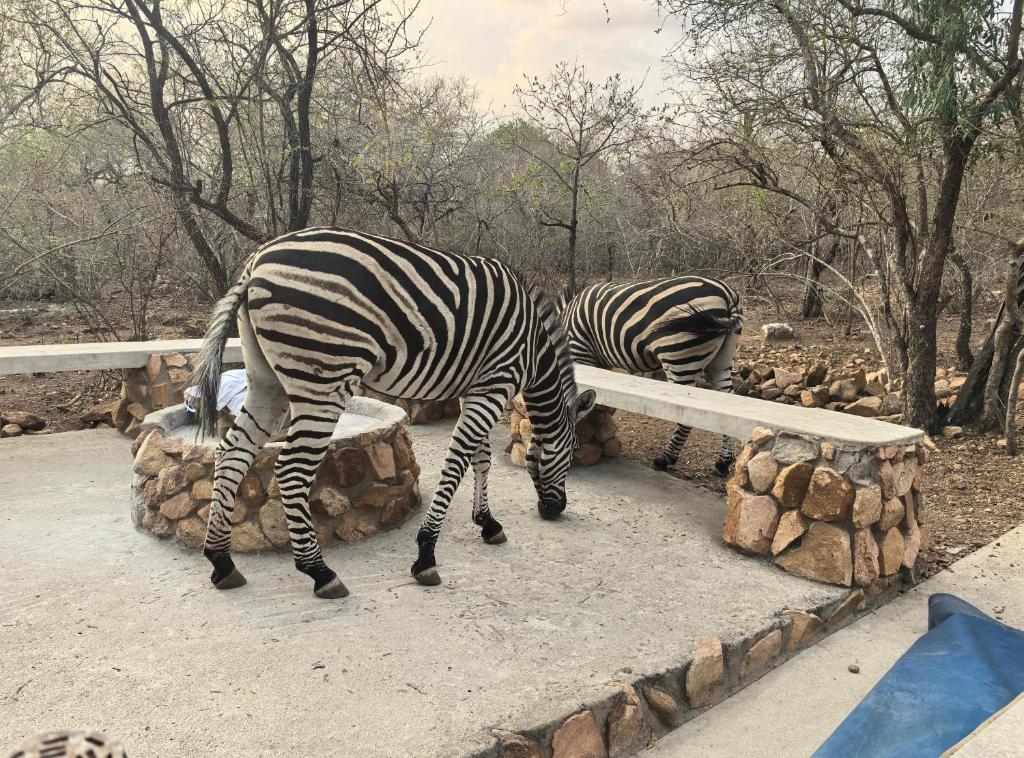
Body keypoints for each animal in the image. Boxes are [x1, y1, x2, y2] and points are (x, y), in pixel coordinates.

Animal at [191, 227, 596, 598]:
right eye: (573, 453)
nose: (555, 509)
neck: (534, 348)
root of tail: (255, 261)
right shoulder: (494, 384)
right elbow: (458, 463)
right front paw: (426, 554)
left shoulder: (475, 387)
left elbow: (480, 459)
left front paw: (487, 522)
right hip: (322, 377)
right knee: (291, 469)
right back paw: (320, 572)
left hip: (267, 379)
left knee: (232, 452)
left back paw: (221, 561)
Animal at [556, 277, 742, 475]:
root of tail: (727, 294)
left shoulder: (580, 351)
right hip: (721, 360)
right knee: (727, 400)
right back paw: (723, 462)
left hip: (679, 356)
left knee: (686, 416)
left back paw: (665, 459)